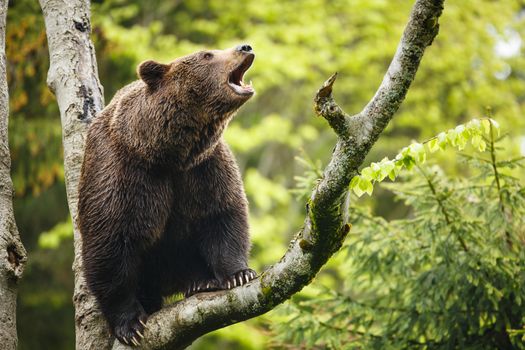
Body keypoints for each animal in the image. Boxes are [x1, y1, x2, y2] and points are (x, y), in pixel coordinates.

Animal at [77, 44, 256, 348]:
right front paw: (130, 324)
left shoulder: (203, 168)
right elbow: (111, 241)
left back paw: (200, 281)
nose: (245, 47)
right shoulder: (125, 173)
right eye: (207, 54)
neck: (168, 153)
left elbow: (223, 214)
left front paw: (239, 274)